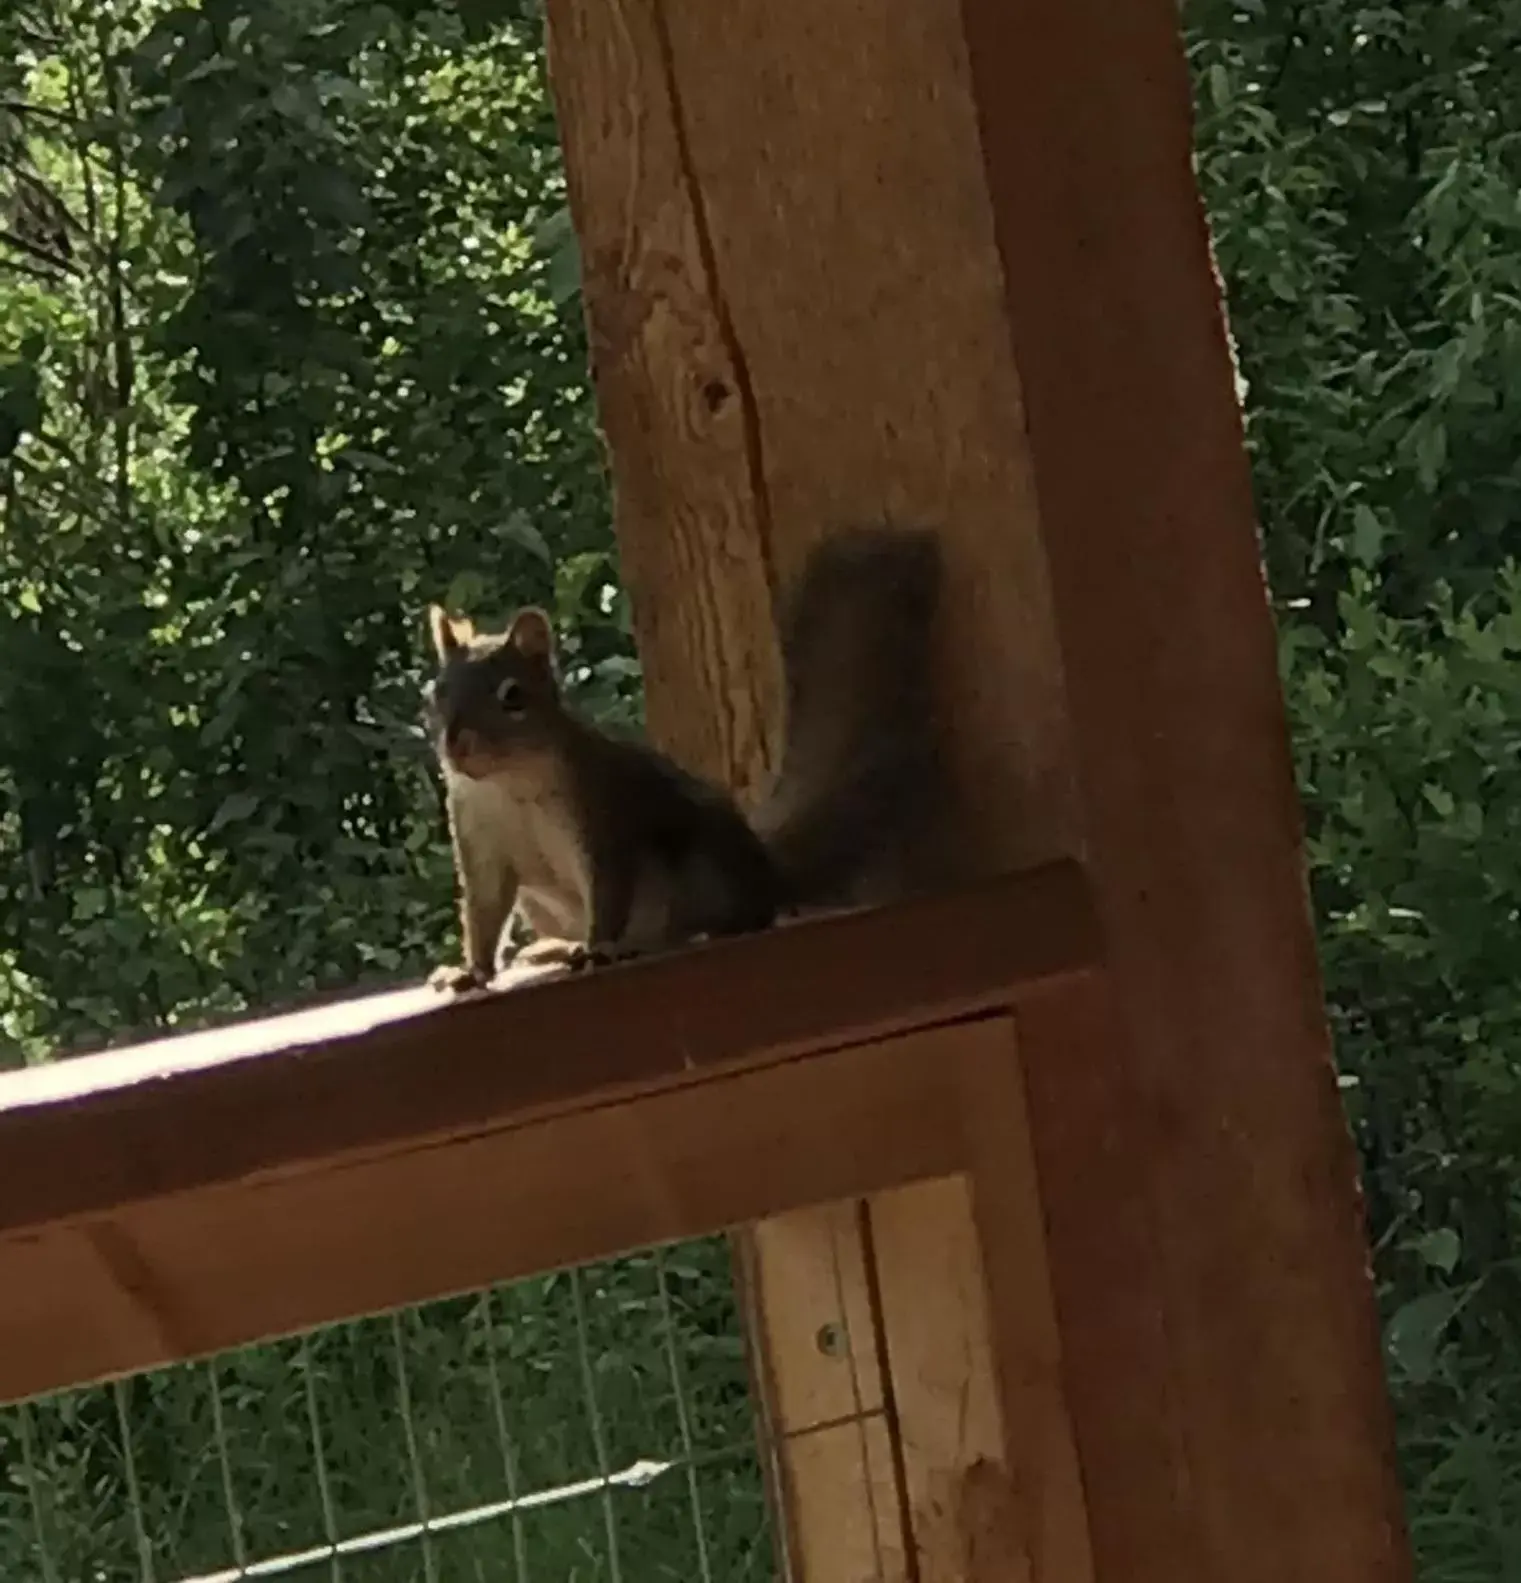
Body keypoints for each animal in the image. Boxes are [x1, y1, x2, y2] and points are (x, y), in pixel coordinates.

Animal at [424, 525, 936, 987]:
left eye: (513, 697)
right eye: (437, 692)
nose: (457, 745)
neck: (507, 784)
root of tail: (767, 873)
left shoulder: (599, 818)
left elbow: (608, 892)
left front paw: (599, 947)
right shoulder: (480, 841)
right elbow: (484, 913)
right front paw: (472, 971)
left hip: (700, 873)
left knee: (727, 919)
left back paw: (669, 937)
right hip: (543, 905)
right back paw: (553, 947)